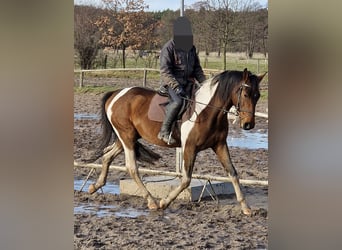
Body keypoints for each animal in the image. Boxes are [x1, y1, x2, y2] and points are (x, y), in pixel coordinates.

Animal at [86, 68, 268, 215]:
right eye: (245, 94)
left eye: (257, 96)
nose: (248, 124)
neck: (207, 111)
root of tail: (115, 93)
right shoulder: (189, 147)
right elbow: (186, 179)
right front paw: (164, 202)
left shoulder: (220, 145)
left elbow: (233, 173)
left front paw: (246, 208)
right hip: (127, 137)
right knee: (131, 168)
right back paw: (152, 201)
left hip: (127, 138)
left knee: (107, 156)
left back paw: (95, 186)